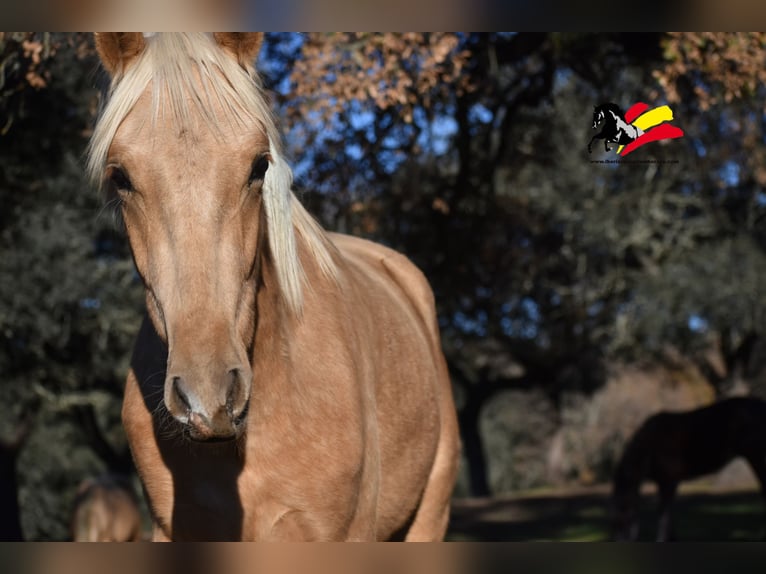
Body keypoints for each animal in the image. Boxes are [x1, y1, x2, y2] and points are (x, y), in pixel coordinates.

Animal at [612, 398, 766, 544]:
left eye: (622, 513)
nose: (620, 541)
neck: (649, 447)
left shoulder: (668, 481)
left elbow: (663, 514)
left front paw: (663, 539)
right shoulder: (665, 482)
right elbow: (667, 513)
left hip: (756, 456)